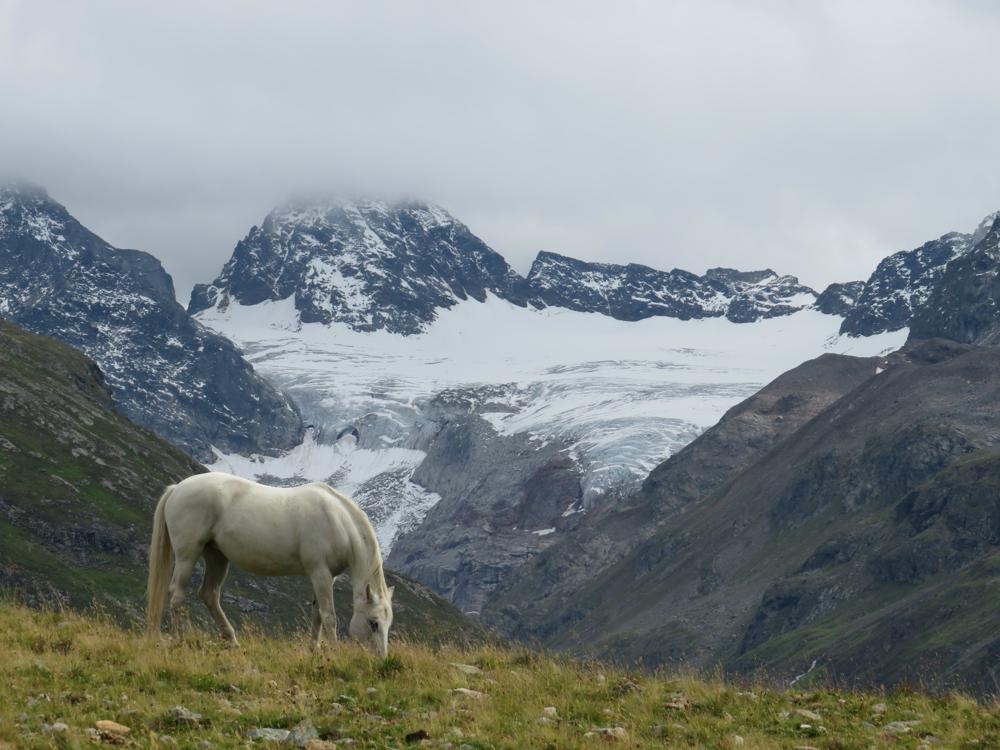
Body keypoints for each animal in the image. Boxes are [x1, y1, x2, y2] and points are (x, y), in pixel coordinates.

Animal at [146, 476, 394, 656]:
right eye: (373, 623)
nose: (381, 658)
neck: (338, 521)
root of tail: (177, 489)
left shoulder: (324, 576)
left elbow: (316, 614)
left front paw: (314, 650)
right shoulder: (319, 572)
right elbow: (328, 615)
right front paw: (334, 652)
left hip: (217, 557)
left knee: (209, 594)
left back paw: (232, 640)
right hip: (187, 555)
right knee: (177, 595)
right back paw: (179, 639)